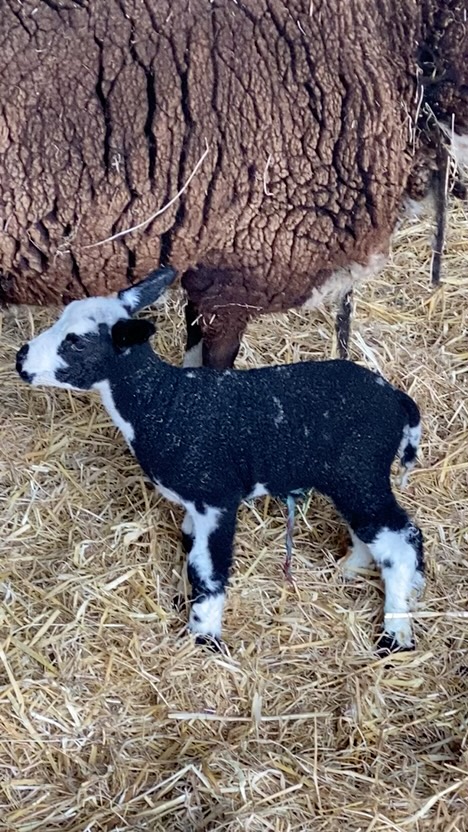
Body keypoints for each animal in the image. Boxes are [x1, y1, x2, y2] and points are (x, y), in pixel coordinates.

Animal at [16, 266, 425, 654]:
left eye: (76, 342)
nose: (21, 358)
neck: (162, 403)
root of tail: (397, 399)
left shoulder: (215, 498)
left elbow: (208, 568)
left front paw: (204, 635)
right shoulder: (194, 507)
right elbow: (191, 552)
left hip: (360, 469)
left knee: (401, 540)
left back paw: (395, 632)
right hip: (351, 478)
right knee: (372, 531)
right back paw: (351, 569)